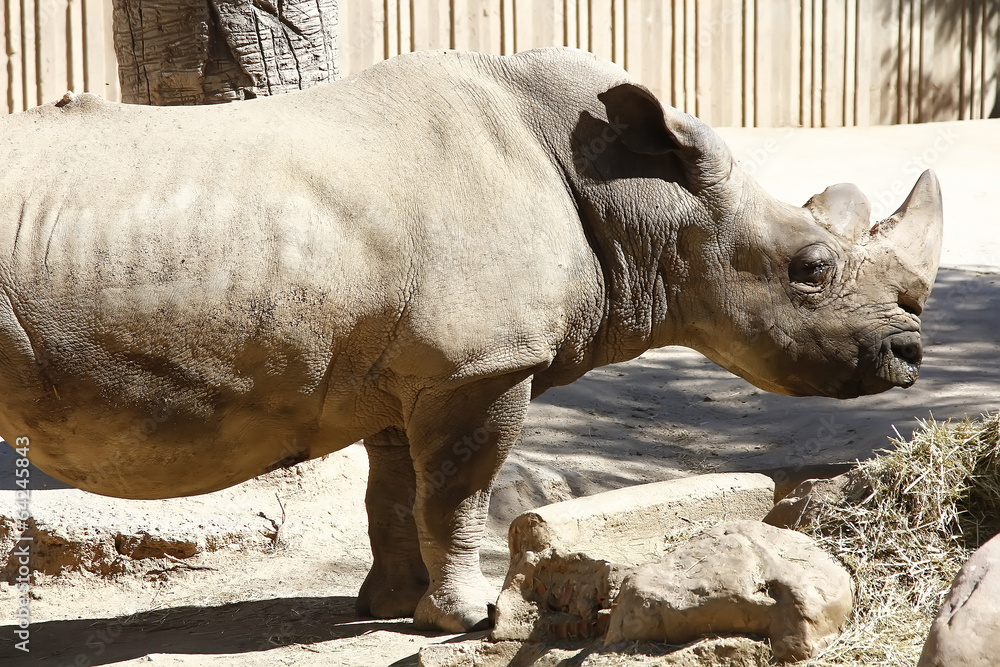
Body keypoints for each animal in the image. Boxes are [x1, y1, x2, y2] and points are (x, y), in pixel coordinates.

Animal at [0, 47, 941, 632]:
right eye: (810, 268)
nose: (909, 357)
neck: (643, 199)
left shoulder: (404, 367)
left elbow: (395, 493)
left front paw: (388, 605)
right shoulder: (480, 366)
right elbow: (458, 491)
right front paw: (471, 616)